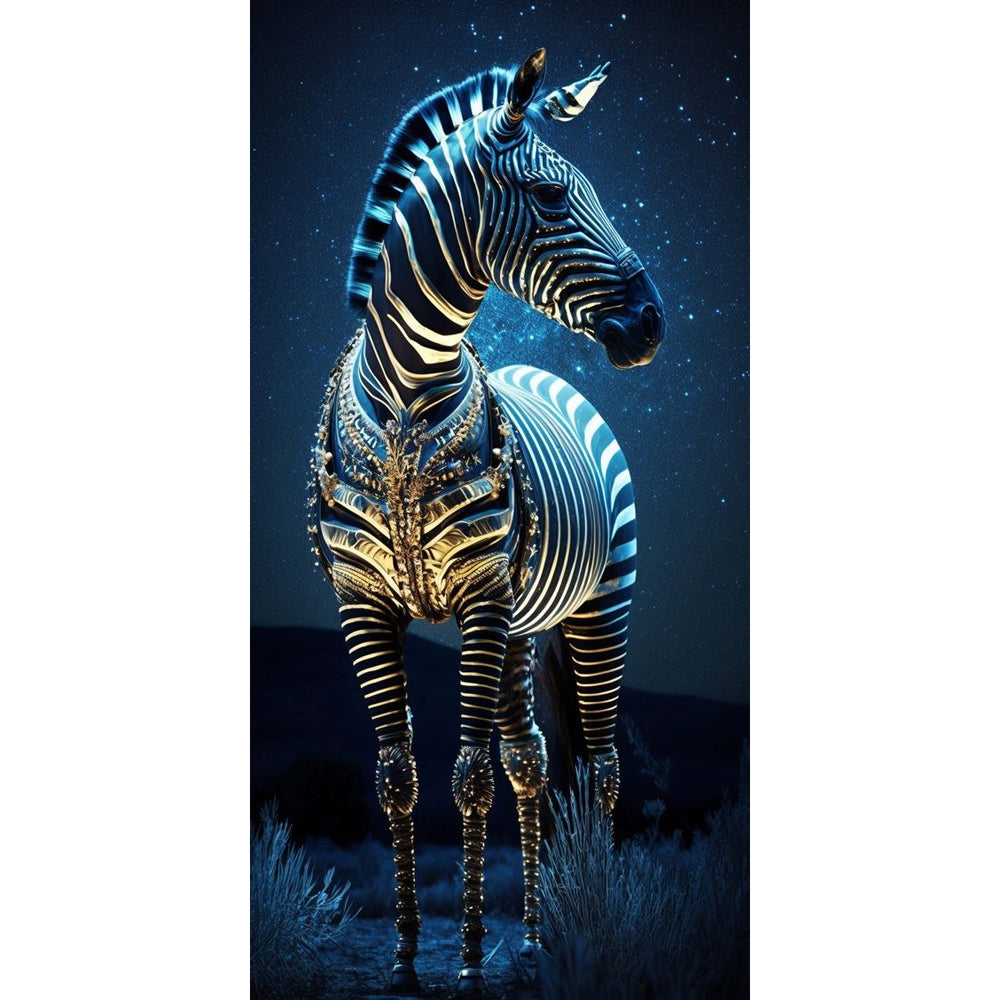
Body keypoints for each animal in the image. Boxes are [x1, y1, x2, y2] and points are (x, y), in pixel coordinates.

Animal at [309, 48, 664, 993]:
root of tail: (548, 376)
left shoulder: (477, 600)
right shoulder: (365, 606)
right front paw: (405, 959)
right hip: (521, 626)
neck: (406, 395)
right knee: (533, 759)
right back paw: (536, 944)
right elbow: (399, 776)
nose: (652, 324)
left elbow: (468, 776)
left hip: (599, 603)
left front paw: (468, 965)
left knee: (601, 765)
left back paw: (593, 926)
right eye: (549, 197)